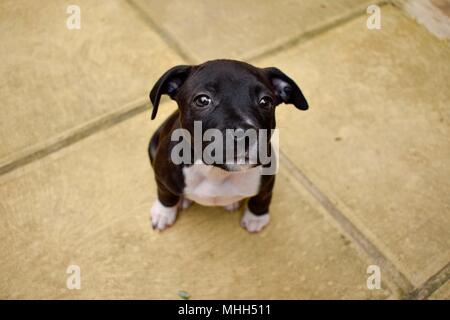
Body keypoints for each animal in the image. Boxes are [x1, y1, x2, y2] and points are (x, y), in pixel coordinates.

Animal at [149, 59, 308, 232]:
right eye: (202, 100)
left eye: (266, 101)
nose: (244, 135)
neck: (217, 173)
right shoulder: (161, 177)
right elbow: (165, 195)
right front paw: (163, 214)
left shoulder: (267, 181)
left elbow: (261, 198)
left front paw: (256, 218)